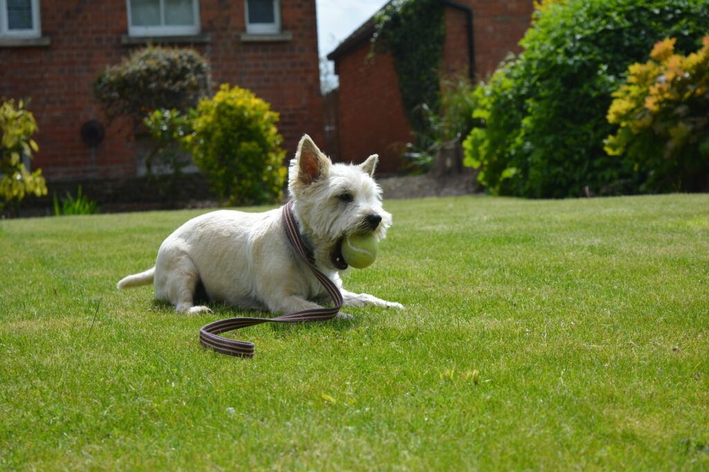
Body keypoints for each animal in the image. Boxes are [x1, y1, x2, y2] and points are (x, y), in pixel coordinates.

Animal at [119, 134, 402, 318]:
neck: (303, 249)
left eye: (373, 197)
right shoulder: (283, 299)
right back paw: (195, 309)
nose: (375, 219)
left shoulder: (330, 291)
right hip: (183, 269)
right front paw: (341, 316)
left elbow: (362, 297)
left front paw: (389, 304)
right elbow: (317, 309)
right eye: (343, 196)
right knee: (180, 304)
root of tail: (156, 266)